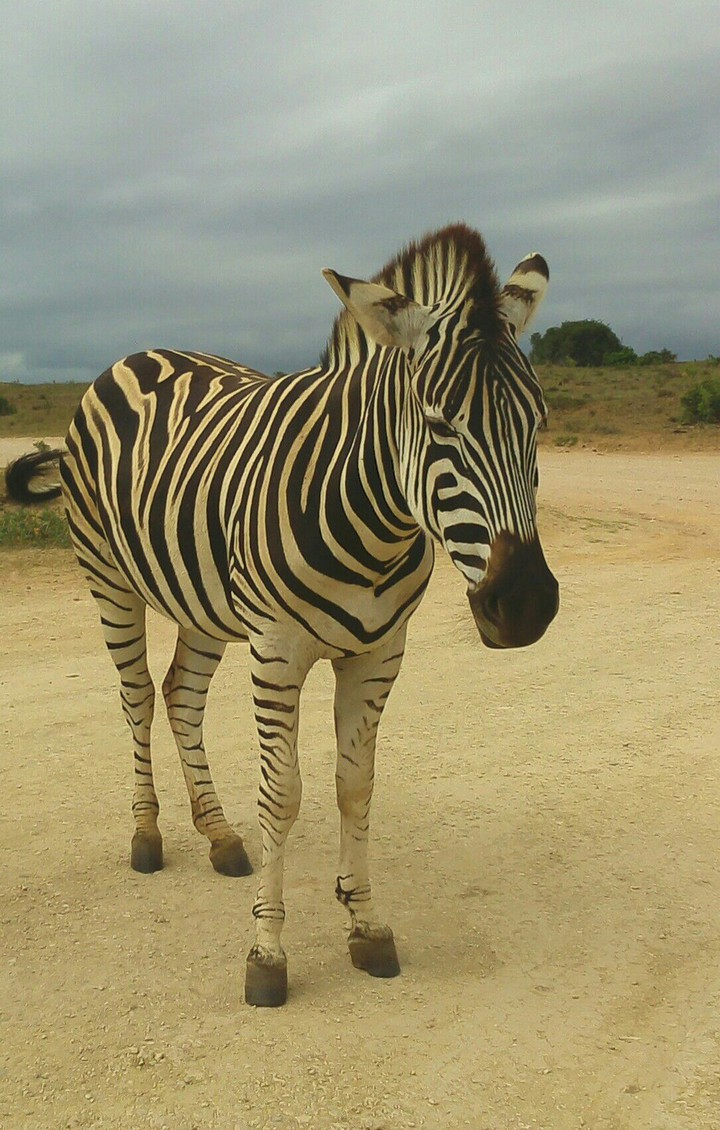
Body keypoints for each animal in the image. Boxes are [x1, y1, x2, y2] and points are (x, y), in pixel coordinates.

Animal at [6, 223, 558, 1007]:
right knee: (137, 696)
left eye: (538, 424)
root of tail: (137, 353)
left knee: (180, 696)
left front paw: (367, 926)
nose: (527, 605)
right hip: (107, 576)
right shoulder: (276, 650)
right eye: (437, 426)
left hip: (203, 603)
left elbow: (354, 787)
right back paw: (146, 835)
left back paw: (219, 836)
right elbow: (282, 793)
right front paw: (266, 953)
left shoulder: (380, 654)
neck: (374, 521)